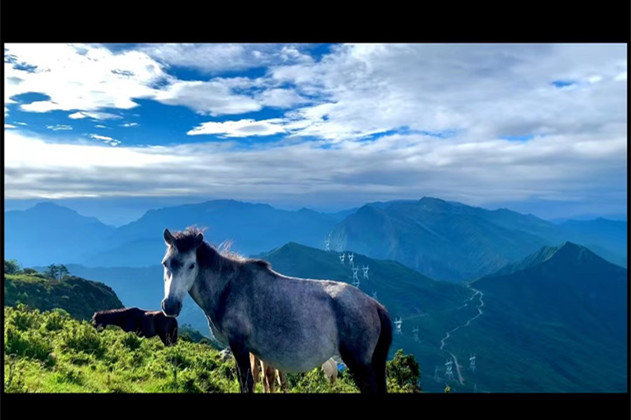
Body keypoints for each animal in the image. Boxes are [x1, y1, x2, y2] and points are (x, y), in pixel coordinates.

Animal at [160, 226, 392, 394]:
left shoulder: (239, 346)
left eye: (191, 265)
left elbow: (247, 383)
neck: (228, 287)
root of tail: (374, 305)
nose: (170, 305)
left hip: (360, 365)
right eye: (165, 263)